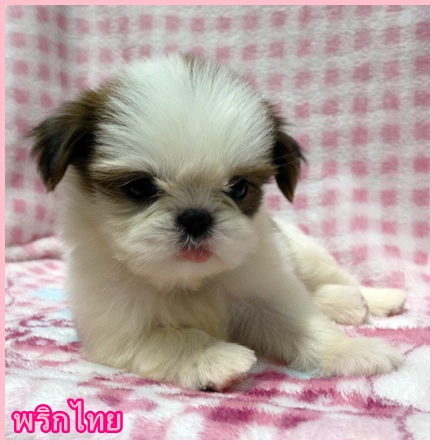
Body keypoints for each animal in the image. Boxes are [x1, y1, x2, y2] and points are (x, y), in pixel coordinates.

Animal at [29, 54, 405, 390]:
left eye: (238, 188)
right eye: (140, 187)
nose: (196, 218)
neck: (187, 281)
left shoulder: (268, 290)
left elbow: (304, 323)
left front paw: (352, 350)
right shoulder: (117, 330)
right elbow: (175, 337)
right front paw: (214, 357)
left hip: (305, 251)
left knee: (329, 279)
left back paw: (376, 298)